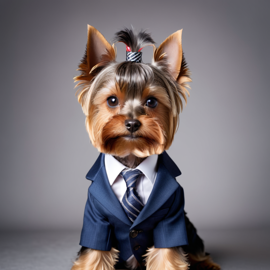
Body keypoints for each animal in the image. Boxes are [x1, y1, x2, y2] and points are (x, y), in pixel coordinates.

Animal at [70, 24, 220, 270]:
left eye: (151, 101)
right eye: (112, 100)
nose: (132, 123)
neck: (131, 162)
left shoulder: (172, 216)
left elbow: (168, 253)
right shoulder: (95, 217)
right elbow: (94, 253)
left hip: (187, 224)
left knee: (196, 247)